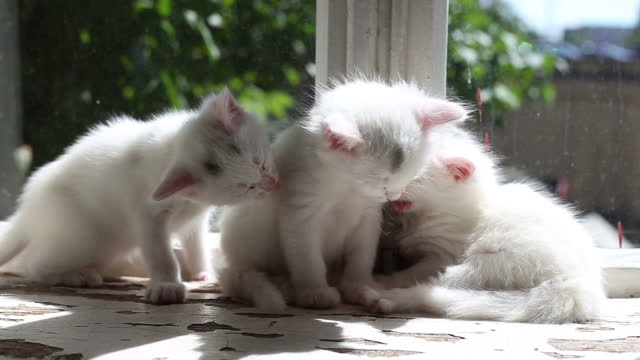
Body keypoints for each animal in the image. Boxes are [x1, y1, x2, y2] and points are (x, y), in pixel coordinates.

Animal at [0, 88, 276, 304]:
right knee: (32, 264)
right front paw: (167, 286)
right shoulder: (146, 212)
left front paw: (202, 273)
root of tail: (28, 210)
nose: (273, 184)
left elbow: (196, 243)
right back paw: (77, 275)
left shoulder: (197, 214)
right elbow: (160, 252)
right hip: (85, 237)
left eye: (262, 163)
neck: (174, 147)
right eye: (247, 187)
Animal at [219, 79, 464, 312]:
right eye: (381, 182)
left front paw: (358, 286)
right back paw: (284, 285)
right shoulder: (300, 214)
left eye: (411, 175)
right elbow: (308, 259)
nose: (393, 195)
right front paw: (315, 292)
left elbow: (362, 256)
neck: (347, 190)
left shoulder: (368, 218)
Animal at [370, 126, 604, 324]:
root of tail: (581, 288)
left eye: (412, 175)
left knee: (436, 285)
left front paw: (386, 280)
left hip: (491, 262)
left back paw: (383, 296)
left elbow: (411, 273)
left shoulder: (442, 254)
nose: (385, 188)